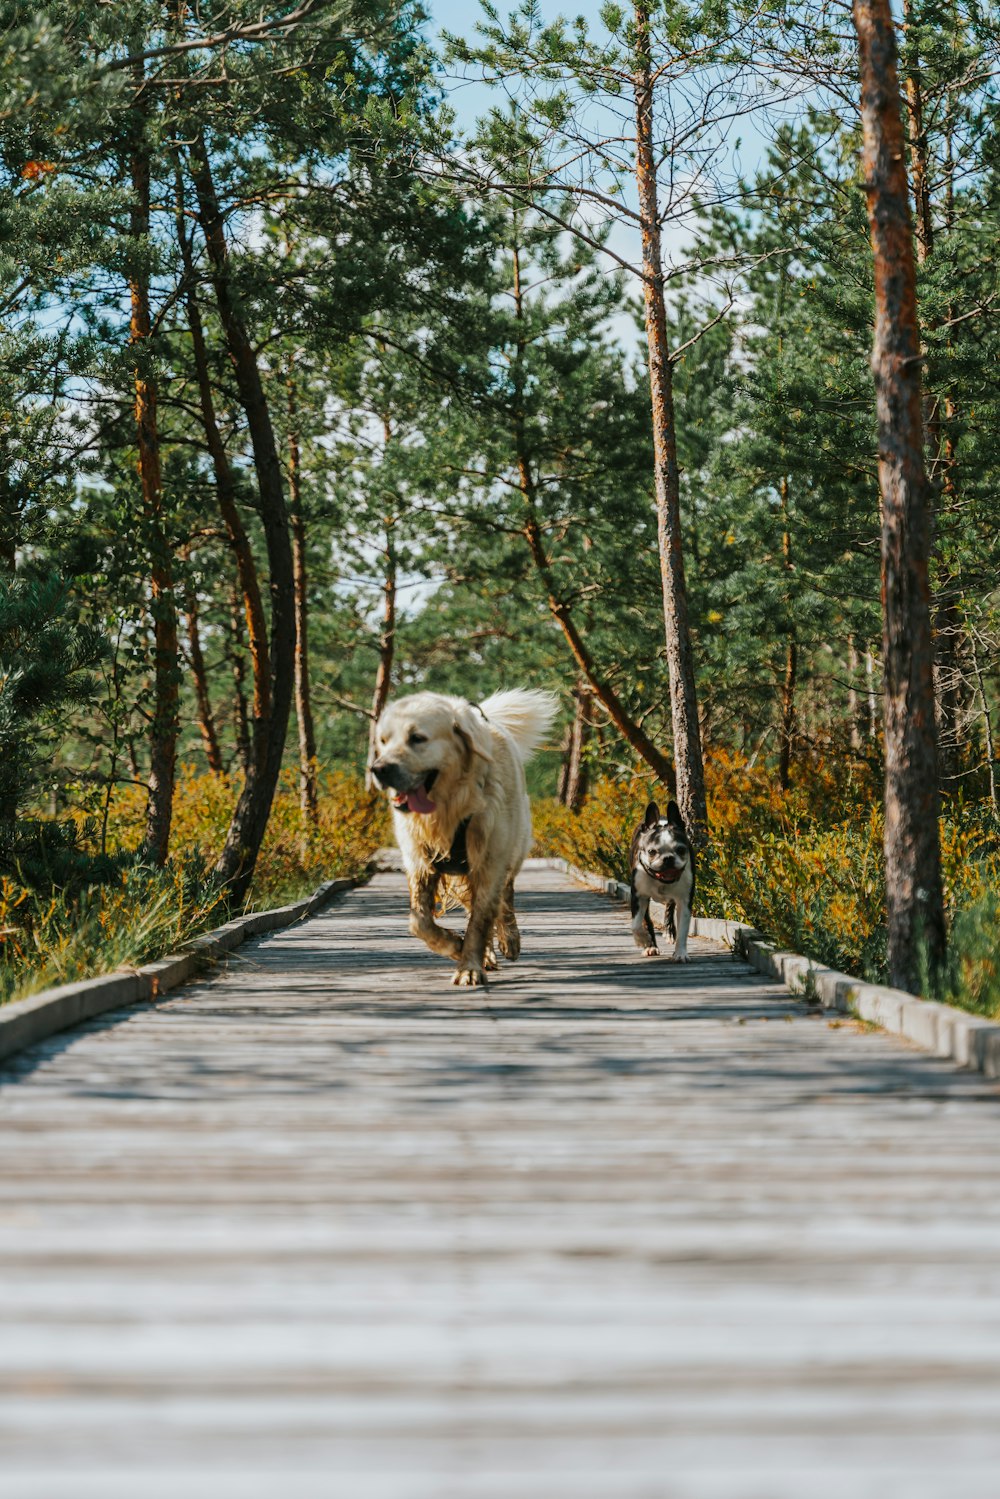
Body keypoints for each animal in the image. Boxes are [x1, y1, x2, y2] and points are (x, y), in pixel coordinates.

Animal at [370, 686, 560, 983]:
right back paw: (488, 955)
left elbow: (480, 922)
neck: (451, 808)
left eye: (417, 738)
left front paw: (469, 966)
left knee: (506, 898)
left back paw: (509, 940)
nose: (378, 769)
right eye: (384, 740)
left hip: (513, 850)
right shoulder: (419, 861)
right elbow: (420, 922)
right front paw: (456, 947)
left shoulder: (490, 861)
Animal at [629, 803, 692, 965]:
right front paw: (644, 941)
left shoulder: (684, 900)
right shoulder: (638, 896)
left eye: (681, 849)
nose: (668, 858)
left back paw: (669, 932)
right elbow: (636, 924)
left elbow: (683, 930)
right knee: (646, 919)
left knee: (669, 907)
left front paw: (680, 953)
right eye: (651, 851)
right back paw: (651, 945)